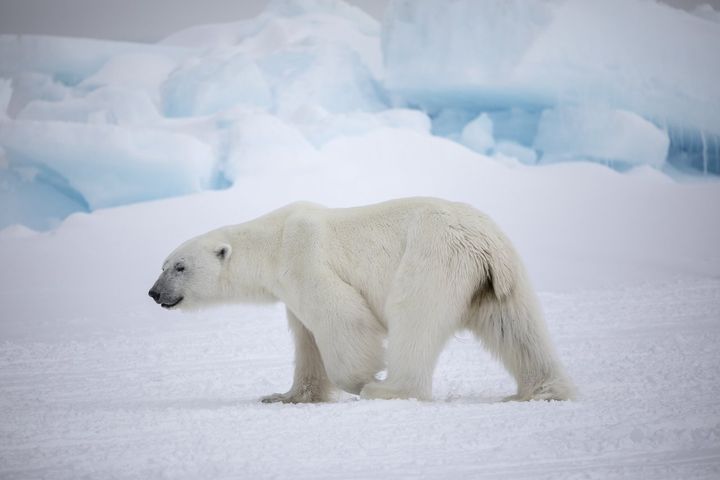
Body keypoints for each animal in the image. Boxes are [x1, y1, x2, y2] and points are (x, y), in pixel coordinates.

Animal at [148, 197, 572, 404]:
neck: (273, 242)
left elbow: (344, 318)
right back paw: (544, 390)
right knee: (516, 327)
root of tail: (484, 243)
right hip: (497, 279)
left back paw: (388, 389)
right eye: (164, 264)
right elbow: (306, 341)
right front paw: (284, 396)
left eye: (179, 267)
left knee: (413, 317)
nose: (153, 292)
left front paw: (362, 379)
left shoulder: (305, 258)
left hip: (433, 257)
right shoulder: (291, 289)